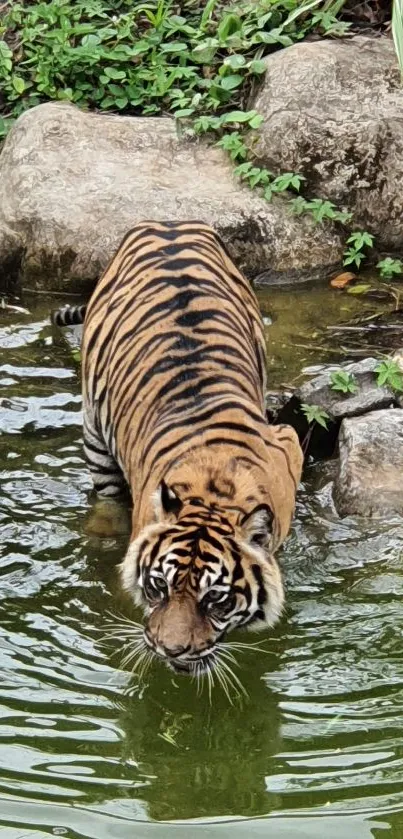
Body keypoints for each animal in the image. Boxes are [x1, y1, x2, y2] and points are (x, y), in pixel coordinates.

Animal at [52, 221, 304, 676]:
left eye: (216, 599)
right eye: (158, 586)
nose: (170, 650)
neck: (215, 492)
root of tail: (166, 224)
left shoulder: (288, 444)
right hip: (94, 428)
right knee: (107, 496)